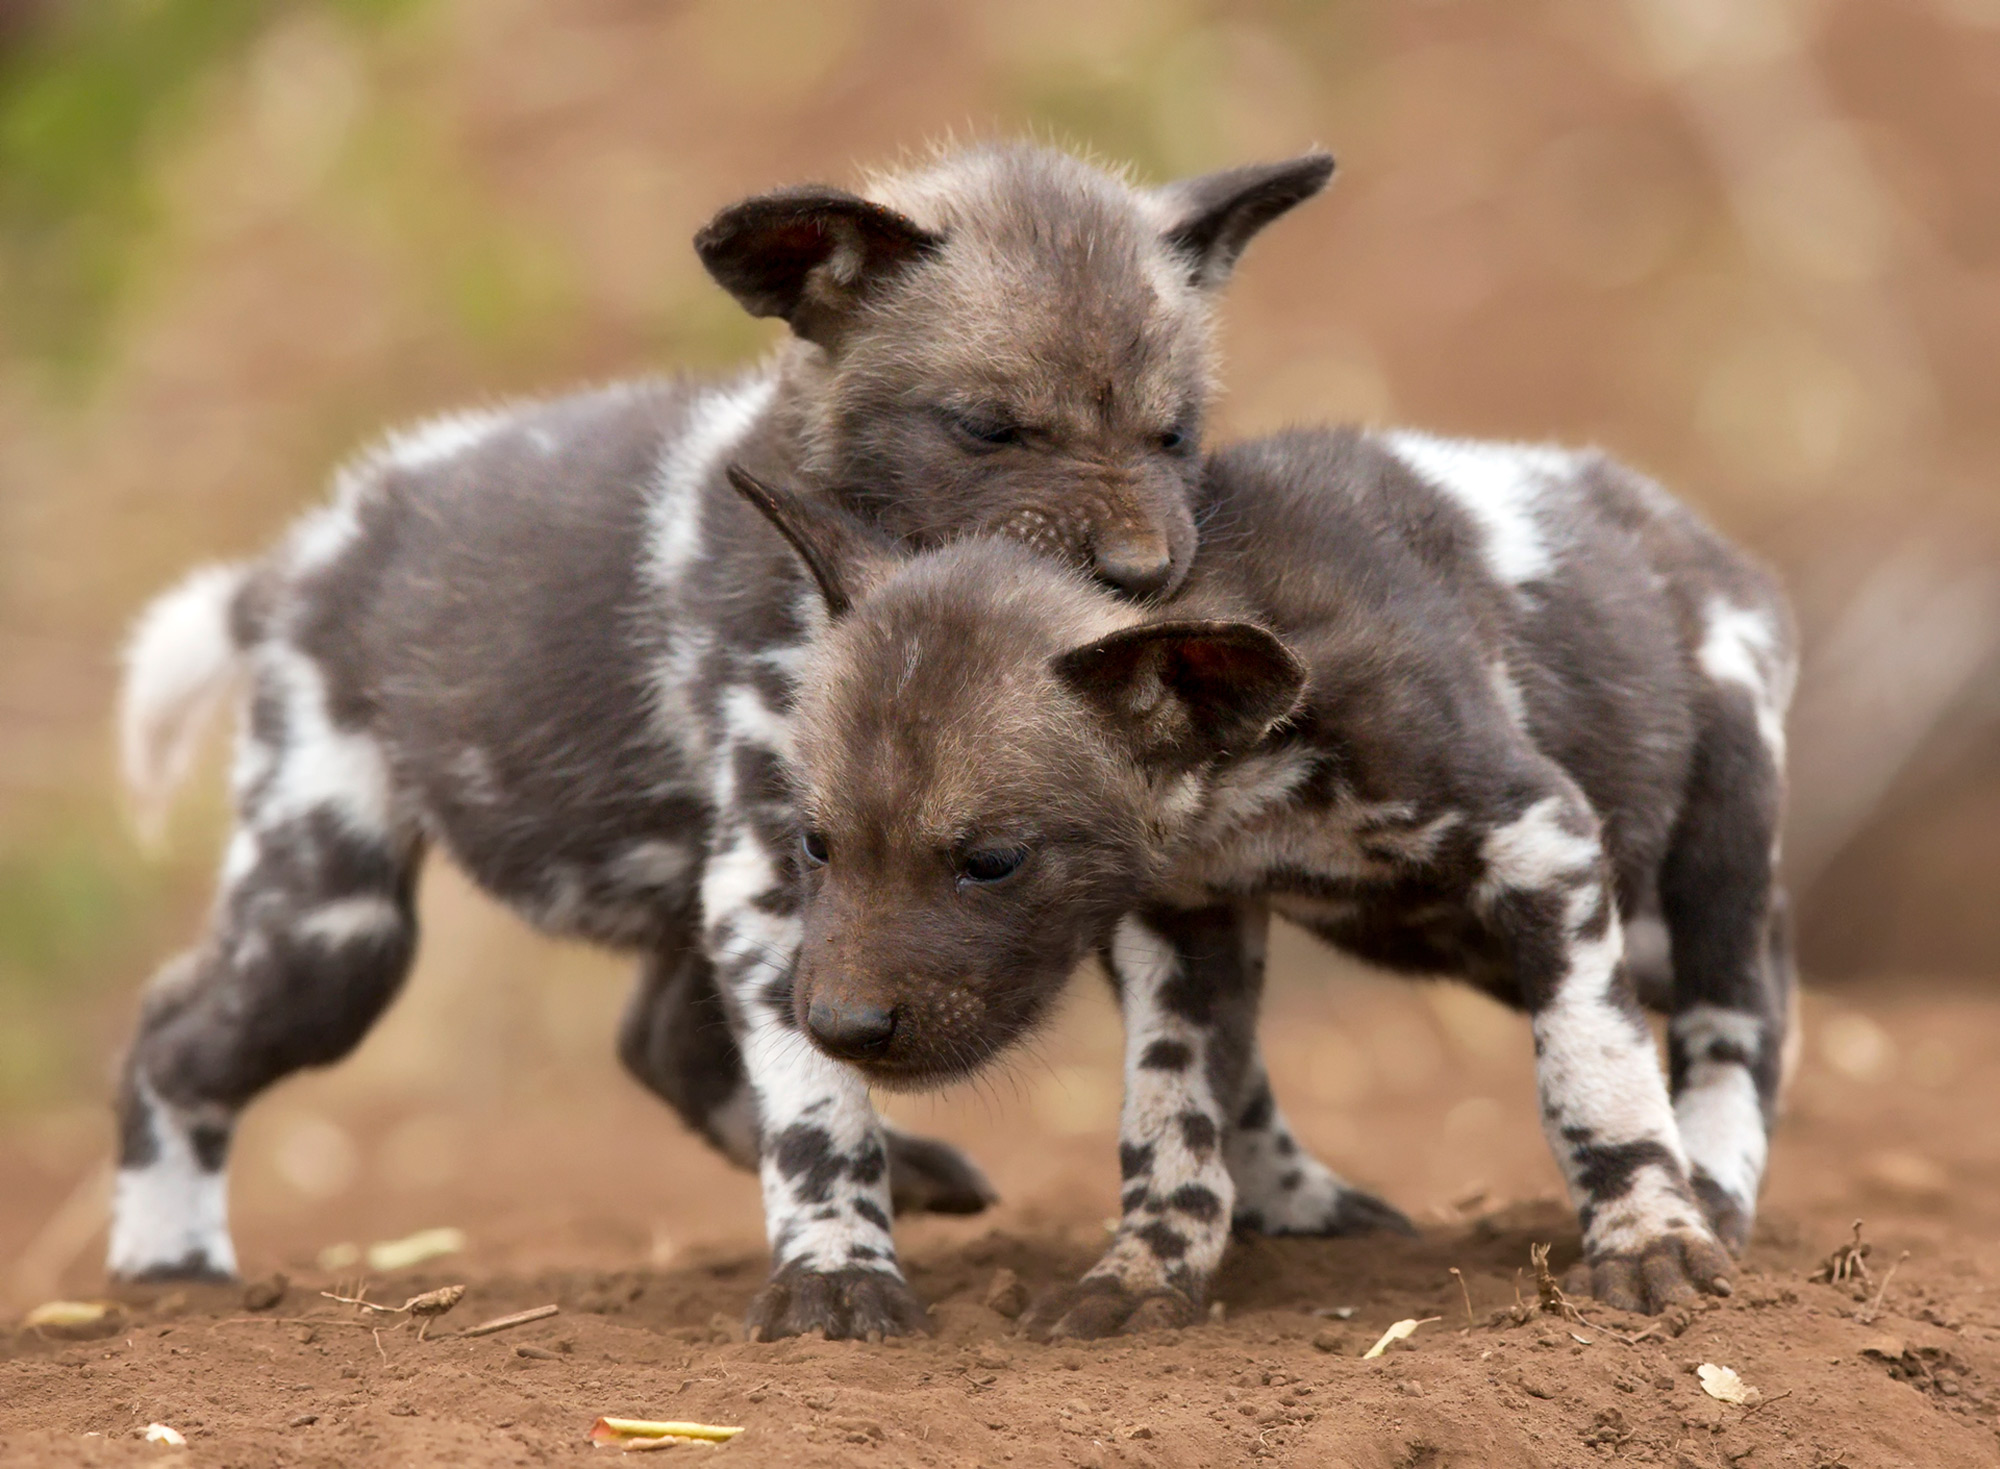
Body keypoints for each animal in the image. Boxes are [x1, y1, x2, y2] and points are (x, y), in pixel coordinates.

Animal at [109, 144, 1344, 1336]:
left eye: (1173, 432)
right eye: (991, 428)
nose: (1144, 573)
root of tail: (303, 558)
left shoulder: (1106, 859)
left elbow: (1201, 1070)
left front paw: (1277, 1201)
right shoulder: (779, 868)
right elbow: (818, 1109)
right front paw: (837, 1270)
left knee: (658, 1037)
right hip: (333, 932)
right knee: (171, 1039)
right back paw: (166, 1267)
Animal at [744, 422, 1808, 1336]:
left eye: (991, 861)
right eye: (816, 844)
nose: (838, 1027)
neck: (1255, 783)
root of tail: (1712, 547)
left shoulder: (1545, 837)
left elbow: (1595, 1074)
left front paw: (1647, 1240)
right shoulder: (1185, 921)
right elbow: (1168, 1116)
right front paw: (1146, 1272)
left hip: (1710, 847)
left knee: (1744, 1002)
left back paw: (1710, 1189)